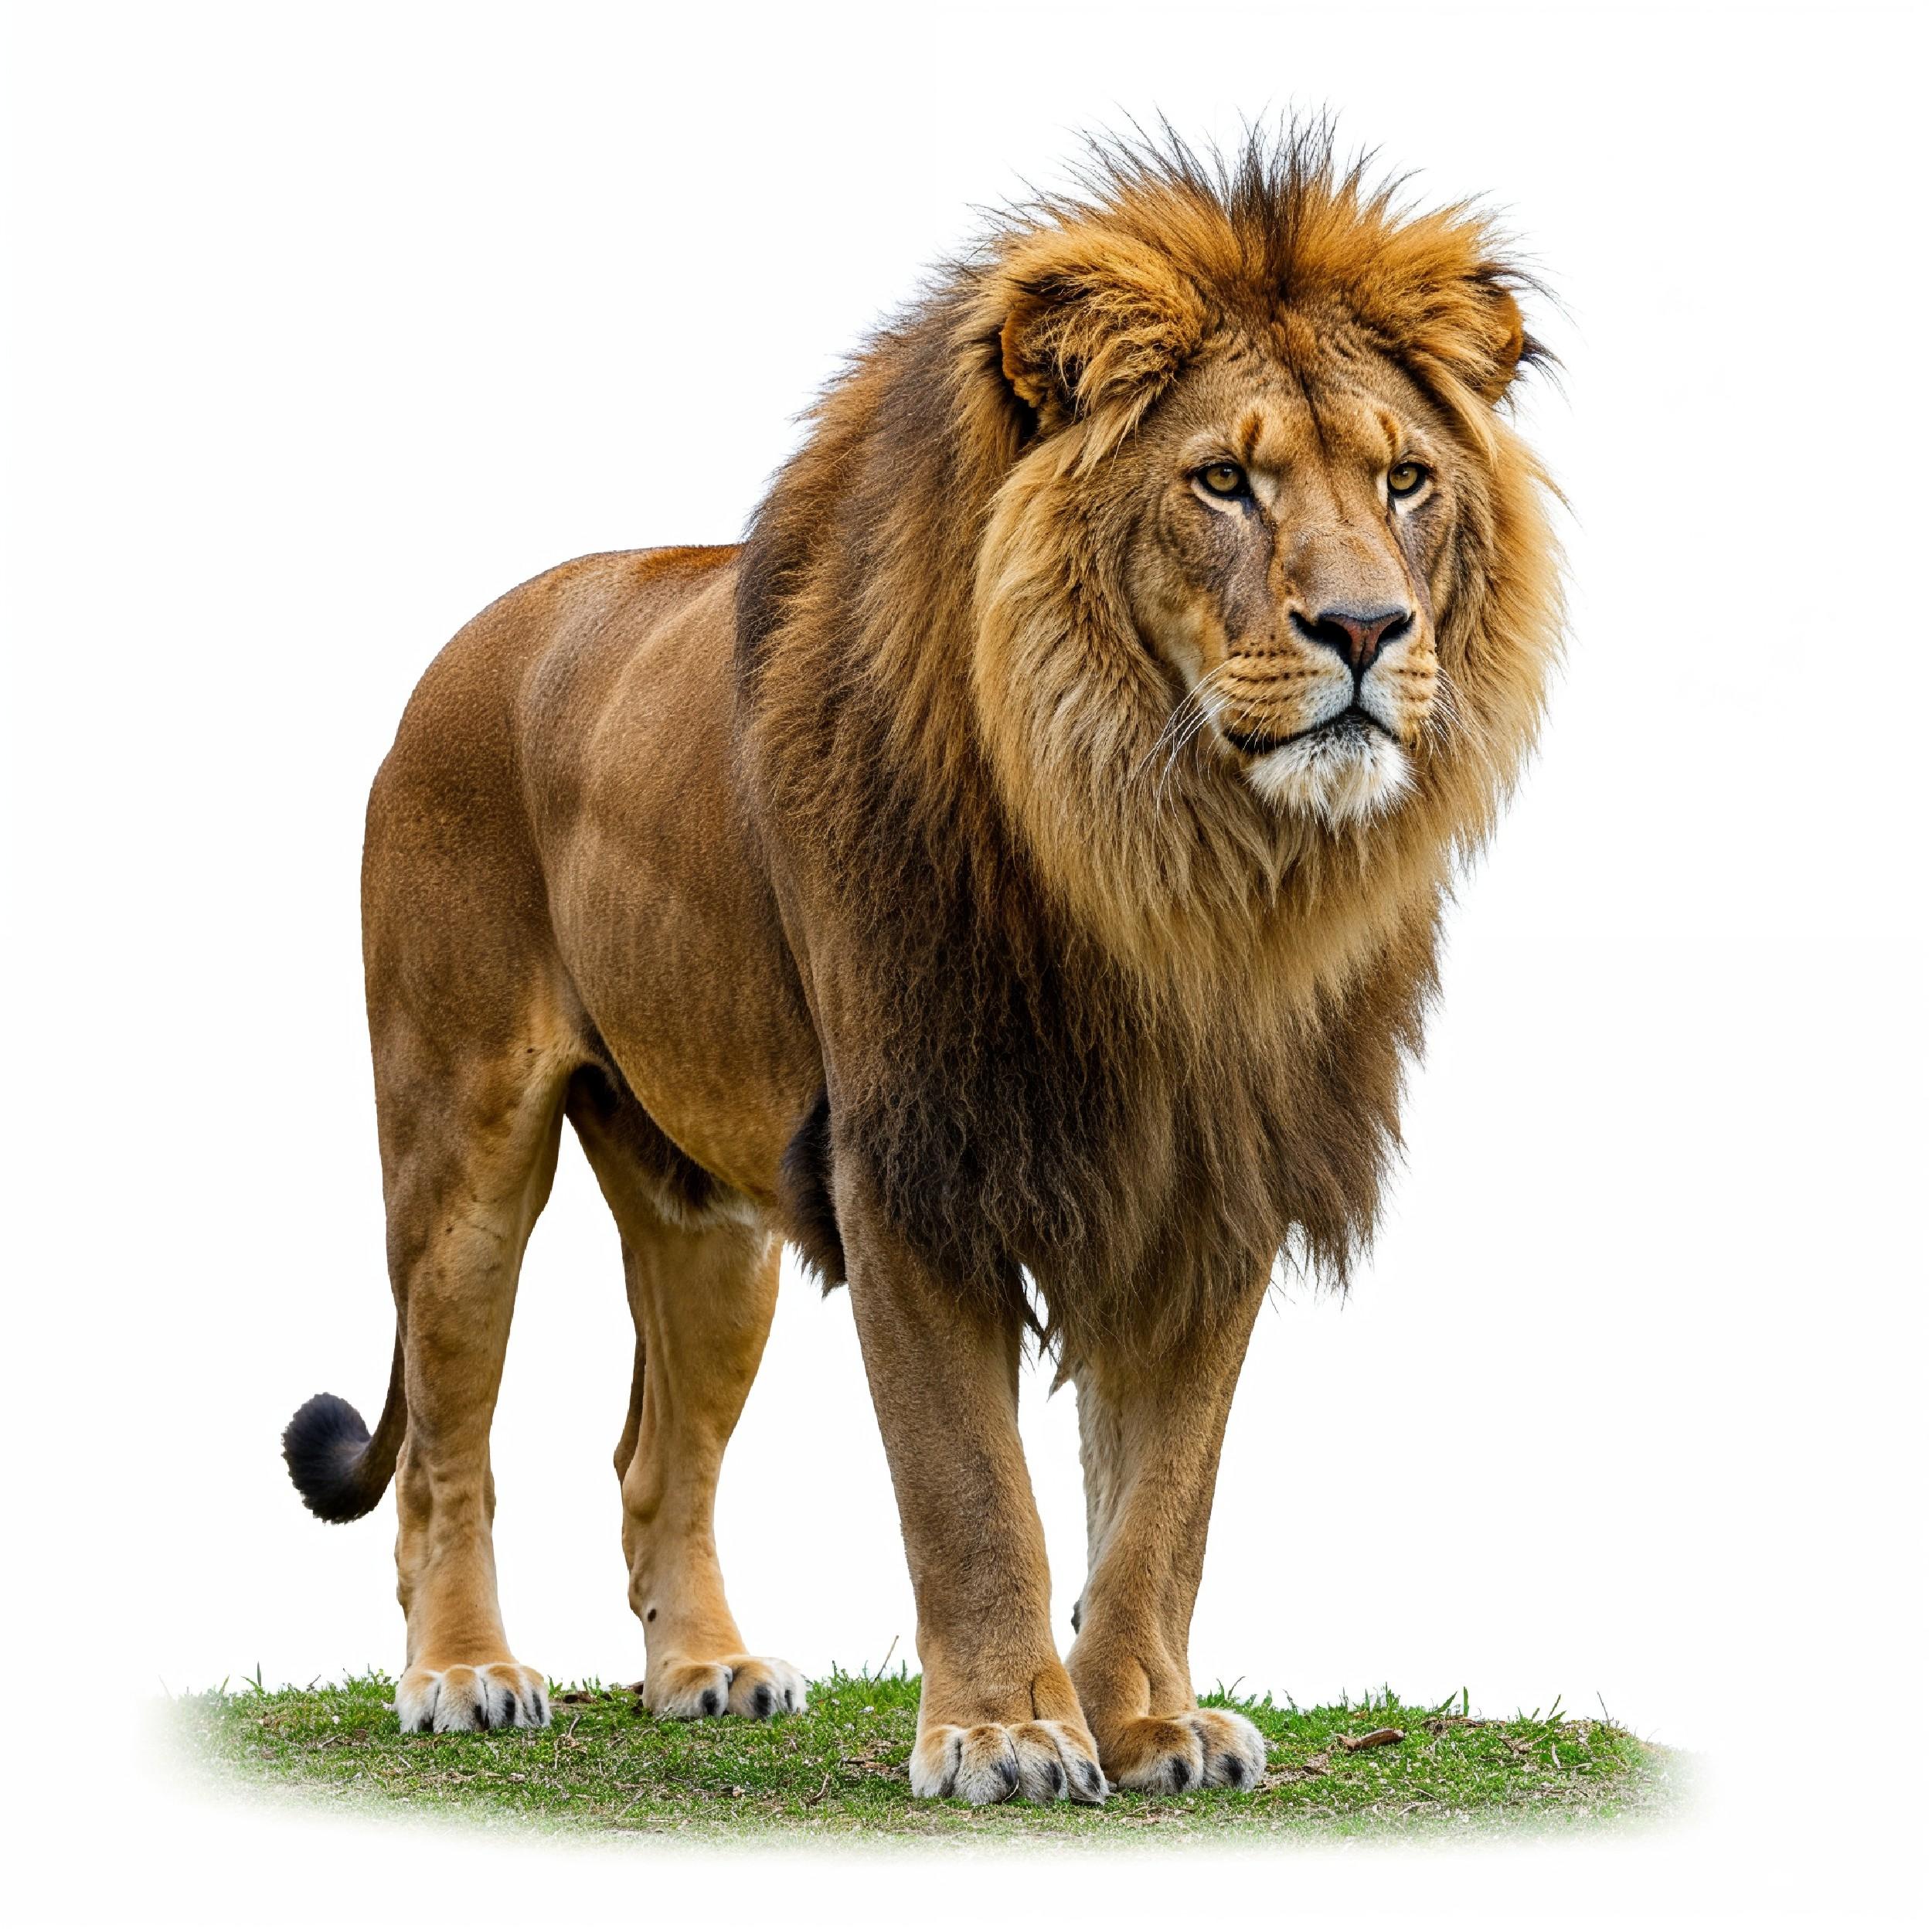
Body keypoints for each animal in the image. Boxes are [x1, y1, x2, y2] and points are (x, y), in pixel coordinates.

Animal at [282, 128, 1561, 1803]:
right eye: (1223, 480)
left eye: (1405, 479)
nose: (1366, 627)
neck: (1171, 866)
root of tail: (469, 642)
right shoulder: (913, 1151)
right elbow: (968, 1484)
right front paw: (1009, 1729)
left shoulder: (1212, 1171)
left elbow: (1166, 1497)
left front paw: (1147, 1719)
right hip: (461, 1149)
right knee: (446, 1449)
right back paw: (465, 1674)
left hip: (711, 1227)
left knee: (654, 1457)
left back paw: (703, 1670)